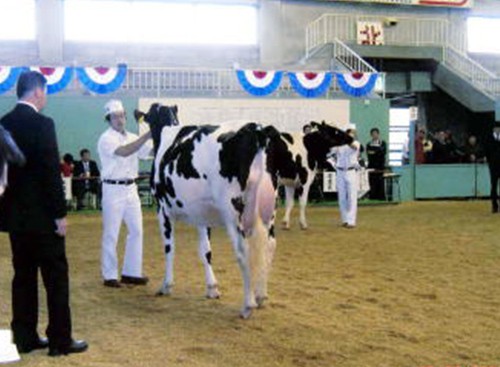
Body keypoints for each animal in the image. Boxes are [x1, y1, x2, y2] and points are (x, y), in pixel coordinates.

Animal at [139, 103, 276, 320]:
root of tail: (256, 129)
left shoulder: (162, 208)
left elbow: (169, 247)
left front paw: (166, 285)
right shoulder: (201, 215)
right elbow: (206, 250)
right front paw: (212, 288)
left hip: (232, 209)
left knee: (243, 250)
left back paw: (248, 305)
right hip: (267, 208)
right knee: (269, 245)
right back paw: (261, 296)